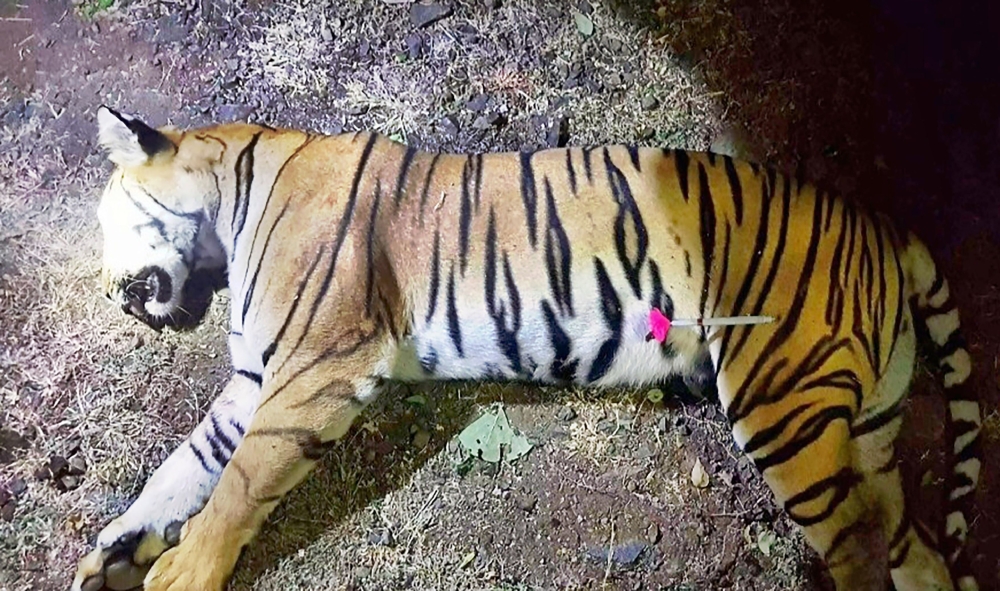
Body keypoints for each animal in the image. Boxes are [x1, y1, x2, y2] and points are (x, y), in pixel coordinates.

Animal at [72, 105, 981, 591]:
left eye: (110, 220)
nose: (115, 295)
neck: (229, 207)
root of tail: (882, 226)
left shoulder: (313, 370)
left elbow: (236, 484)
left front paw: (181, 570)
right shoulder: (255, 378)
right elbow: (183, 469)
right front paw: (110, 554)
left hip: (782, 401)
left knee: (861, 543)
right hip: (866, 424)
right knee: (911, 543)